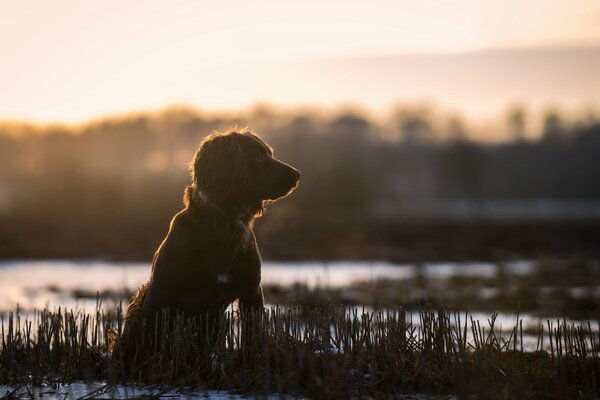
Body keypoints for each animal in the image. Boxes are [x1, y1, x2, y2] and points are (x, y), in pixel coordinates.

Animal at [112, 130, 300, 368]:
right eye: (258, 157)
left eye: (269, 154)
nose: (297, 174)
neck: (224, 224)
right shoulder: (162, 290)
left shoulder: (251, 290)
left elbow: (252, 335)